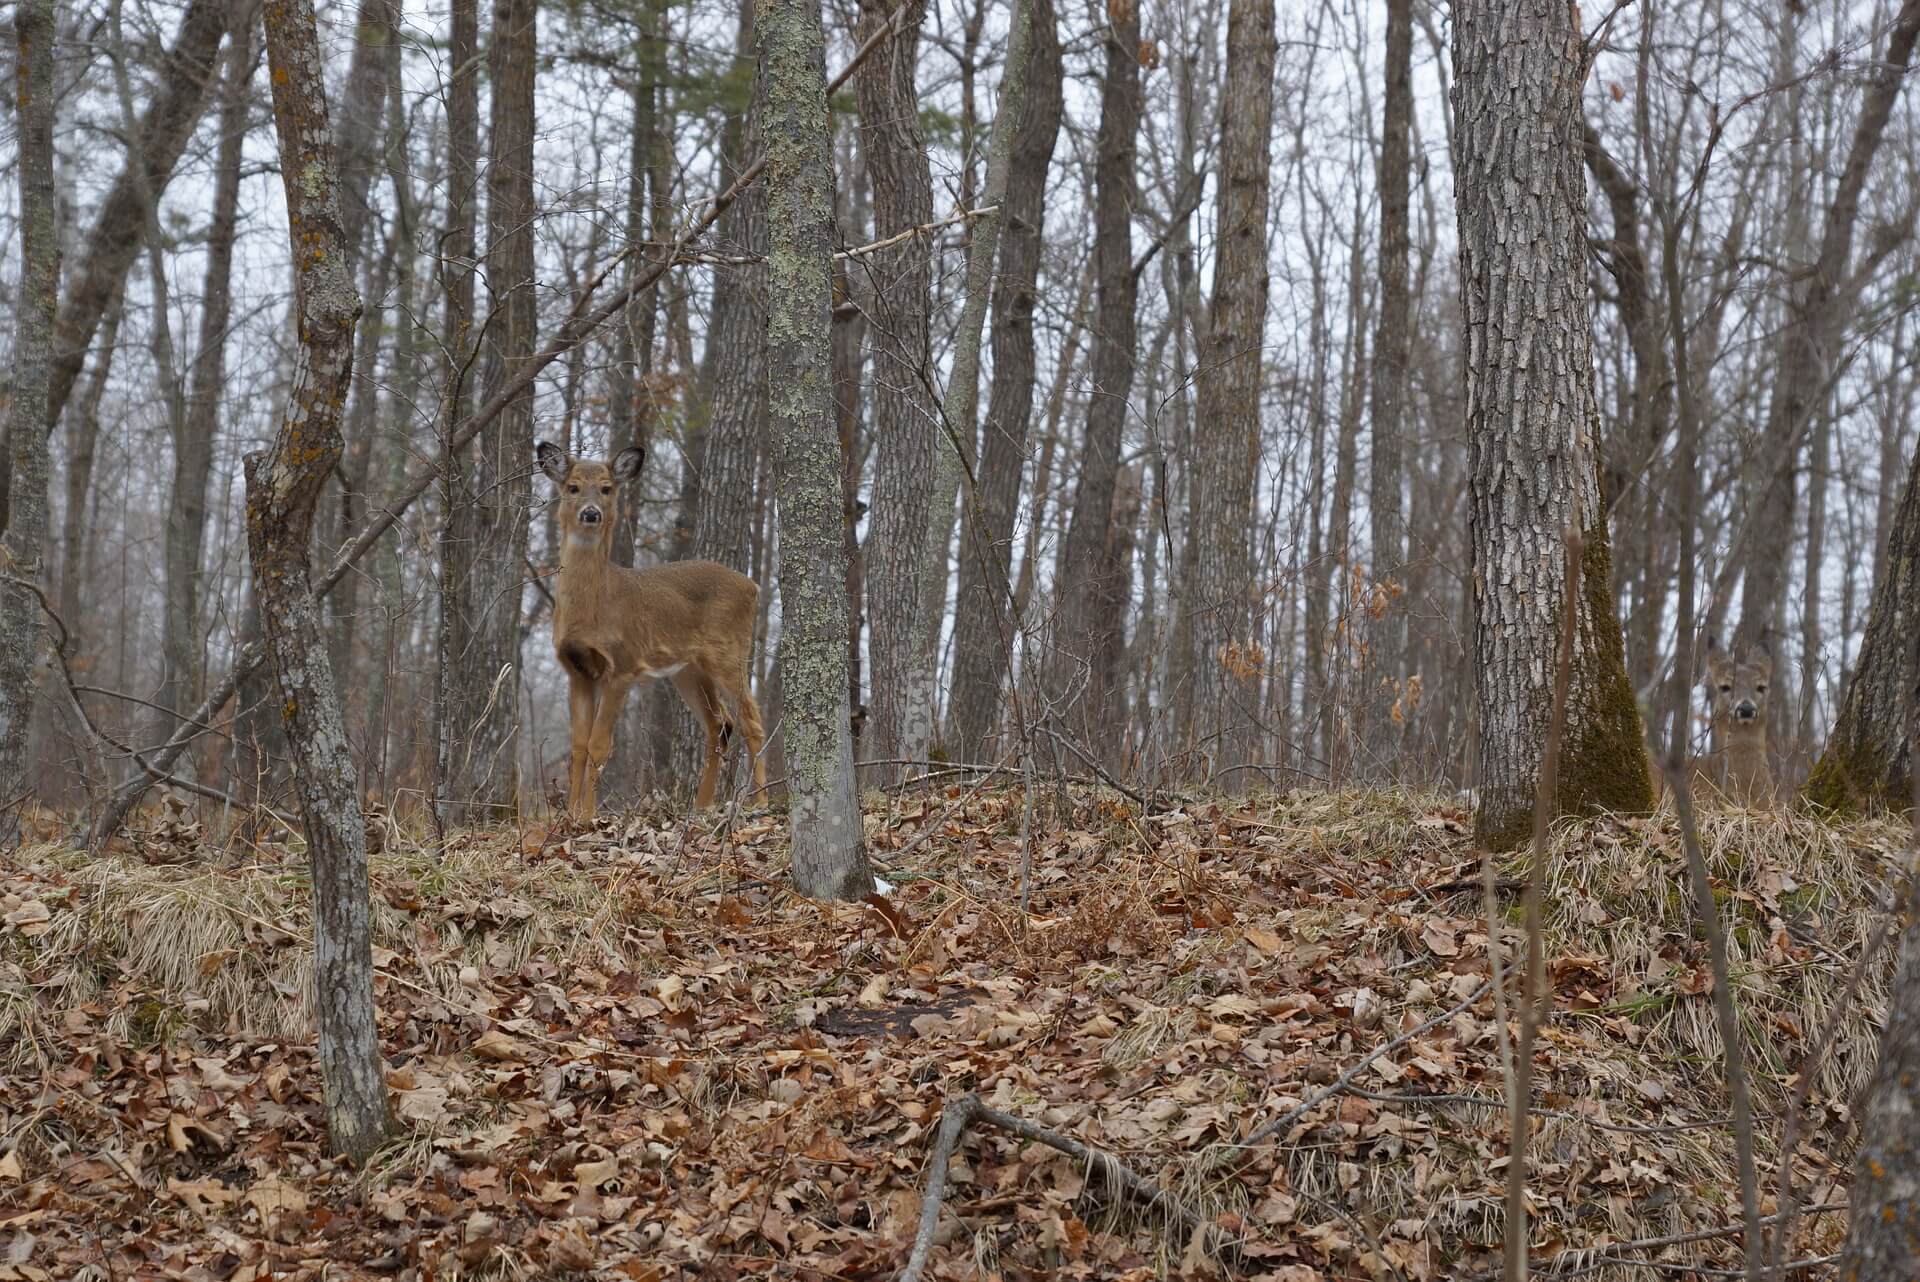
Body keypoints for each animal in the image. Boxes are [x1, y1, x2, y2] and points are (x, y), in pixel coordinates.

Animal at [537, 441, 768, 821]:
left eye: (606, 488)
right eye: (572, 487)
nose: (590, 513)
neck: (595, 607)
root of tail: (753, 586)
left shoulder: (622, 665)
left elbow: (599, 745)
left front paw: (587, 816)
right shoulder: (577, 671)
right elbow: (577, 746)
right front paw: (569, 816)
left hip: (730, 651)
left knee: (751, 720)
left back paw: (760, 800)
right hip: (688, 670)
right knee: (719, 724)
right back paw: (701, 806)